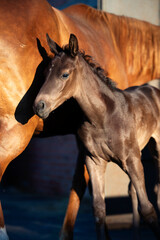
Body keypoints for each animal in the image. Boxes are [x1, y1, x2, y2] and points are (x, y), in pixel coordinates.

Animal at [33, 34, 160, 240]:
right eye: (45, 74)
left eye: (64, 74)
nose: (39, 106)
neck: (103, 117)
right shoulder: (94, 160)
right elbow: (99, 210)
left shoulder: (132, 159)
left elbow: (147, 209)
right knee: (132, 190)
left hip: (156, 148)